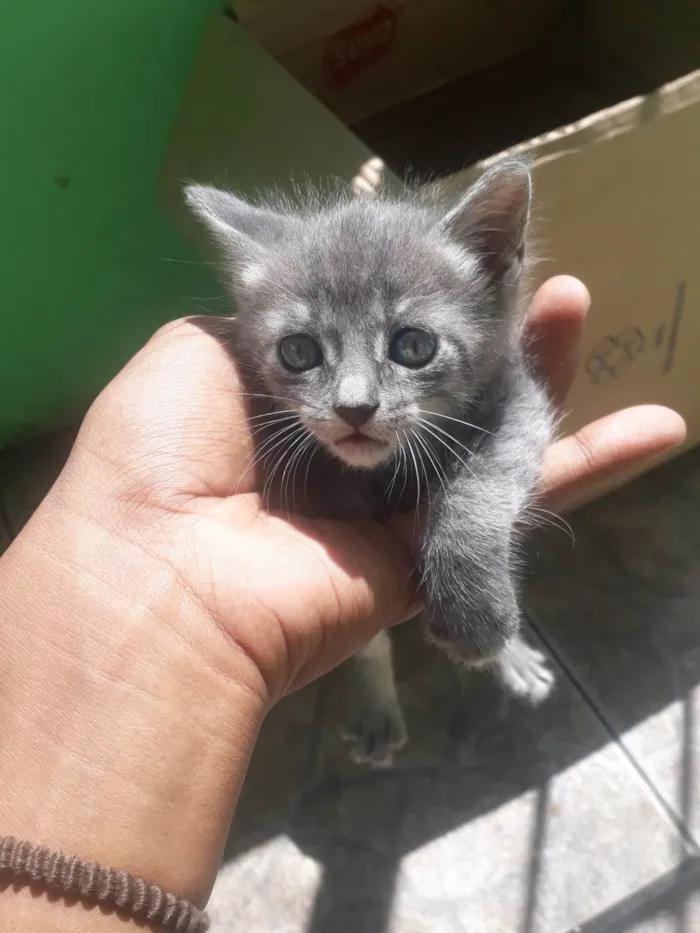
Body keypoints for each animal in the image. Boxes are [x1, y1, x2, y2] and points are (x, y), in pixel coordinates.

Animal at [187, 160, 556, 768]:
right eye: (298, 352)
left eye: (413, 346)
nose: (354, 408)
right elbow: (367, 640)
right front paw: (377, 706)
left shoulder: (518, 400)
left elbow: (479, 488)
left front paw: (482, 621)